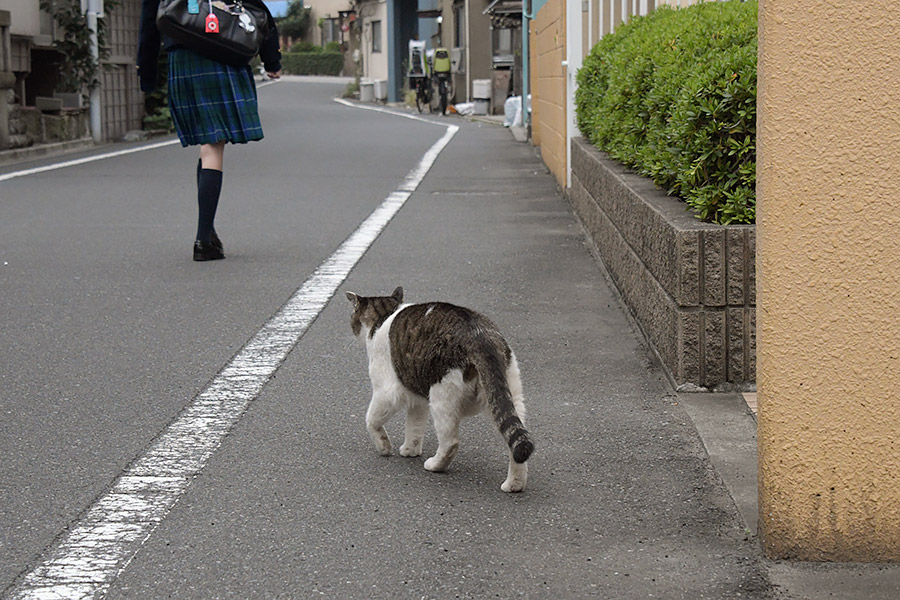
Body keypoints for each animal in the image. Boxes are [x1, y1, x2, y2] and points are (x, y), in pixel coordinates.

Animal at [346, 288, 536, 492]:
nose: (352, 329)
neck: (385, 314)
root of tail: (479, 335)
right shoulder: (418, 399)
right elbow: (414, 426)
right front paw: (410, 450)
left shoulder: (386, 392)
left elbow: (372, 420)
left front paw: (384, 447)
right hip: (508, 395)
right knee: (515, 440)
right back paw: (514, 484)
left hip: (442, 397)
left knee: (451, 442)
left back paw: (434, 465)